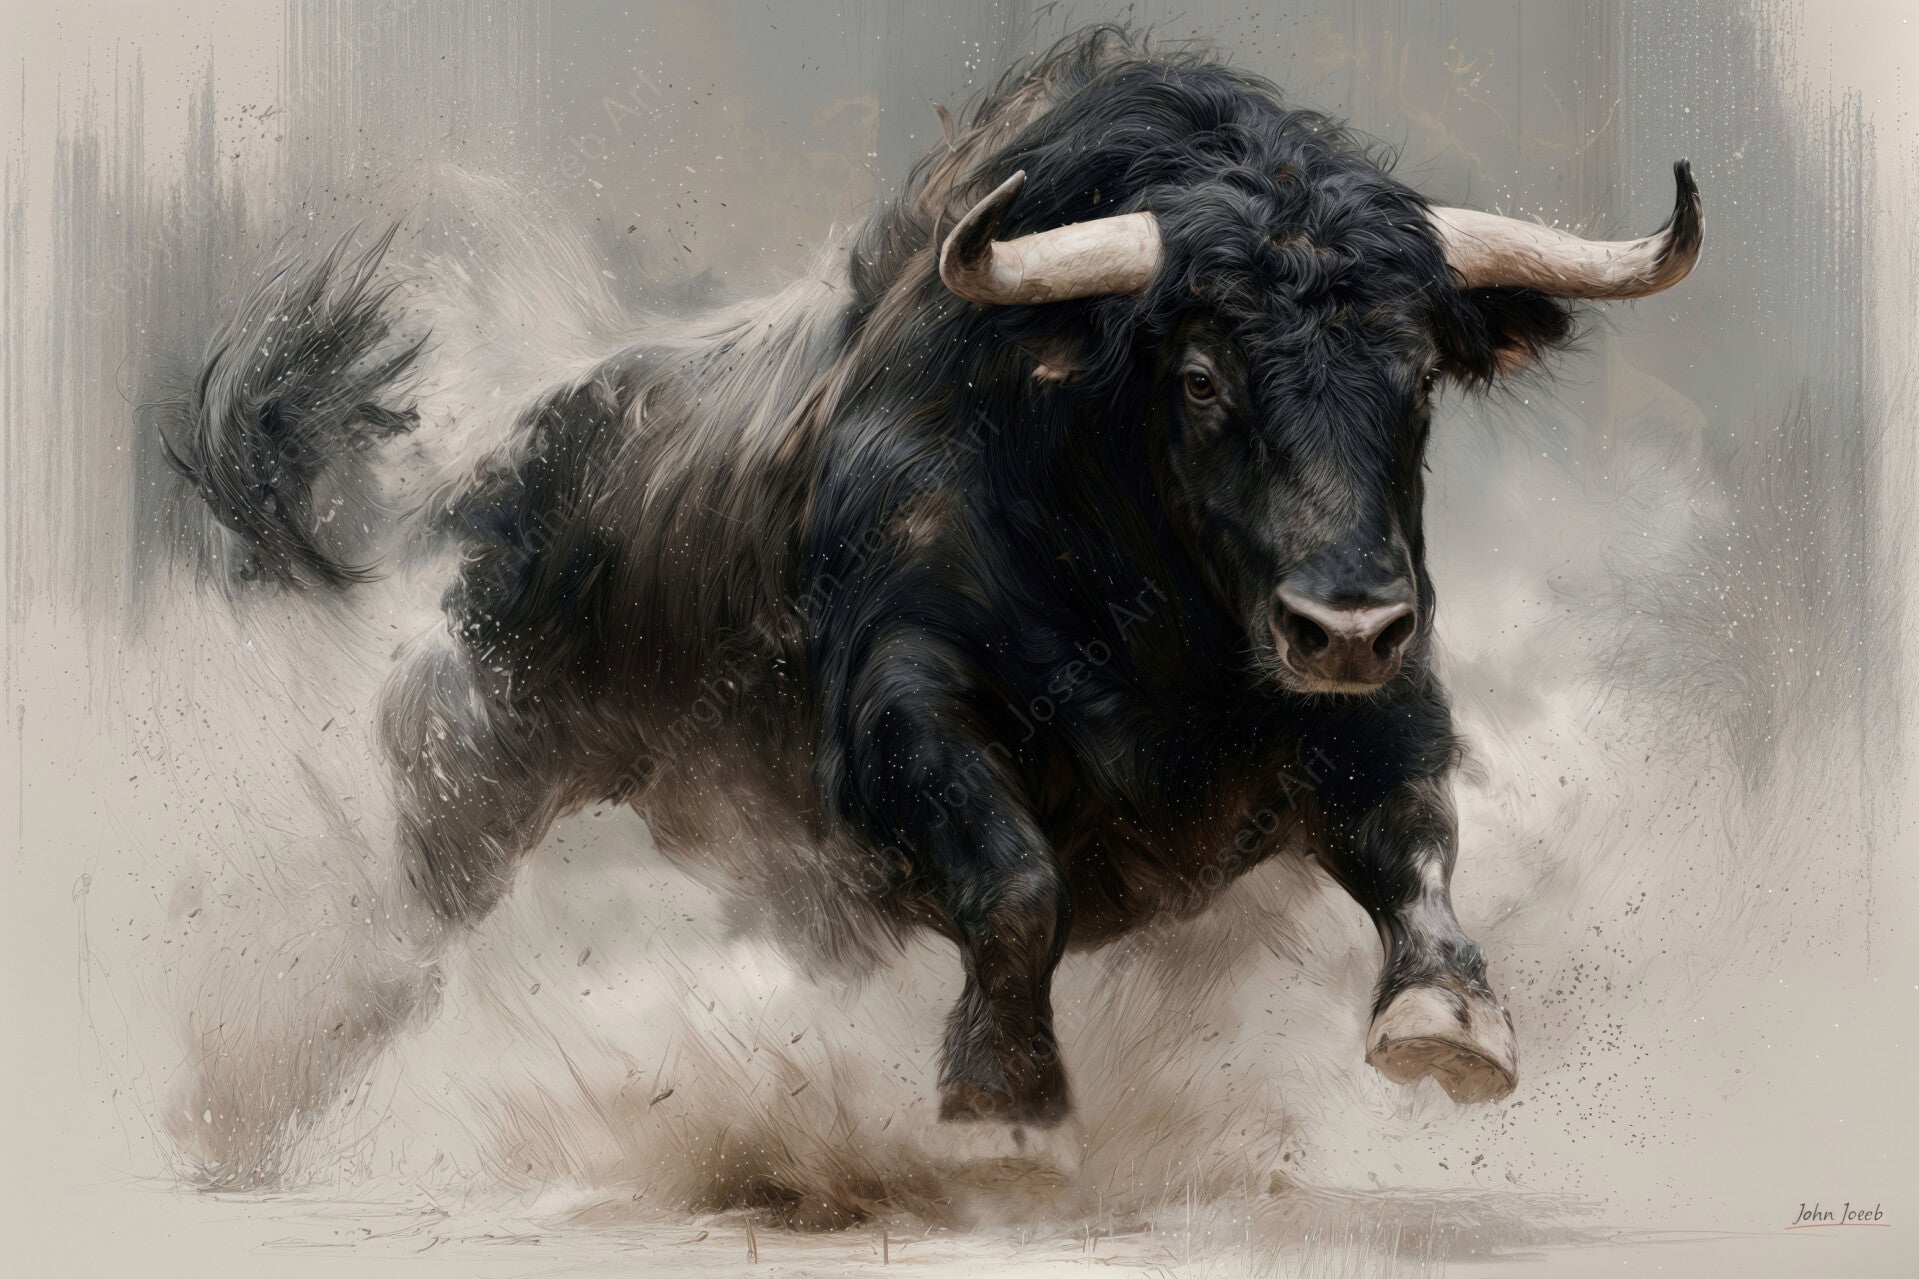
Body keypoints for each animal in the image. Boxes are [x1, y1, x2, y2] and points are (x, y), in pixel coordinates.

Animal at [172, 29, 1701, 1171]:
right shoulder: (899, 719)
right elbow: (1014, 883)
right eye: (1200, 373)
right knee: (414, 941)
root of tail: (471, 475)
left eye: (1417, 375)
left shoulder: (1379, 703)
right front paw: (1002, 1097)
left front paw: (1450, 1024)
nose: (1342, 624)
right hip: (467, 791)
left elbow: (1413, 839)